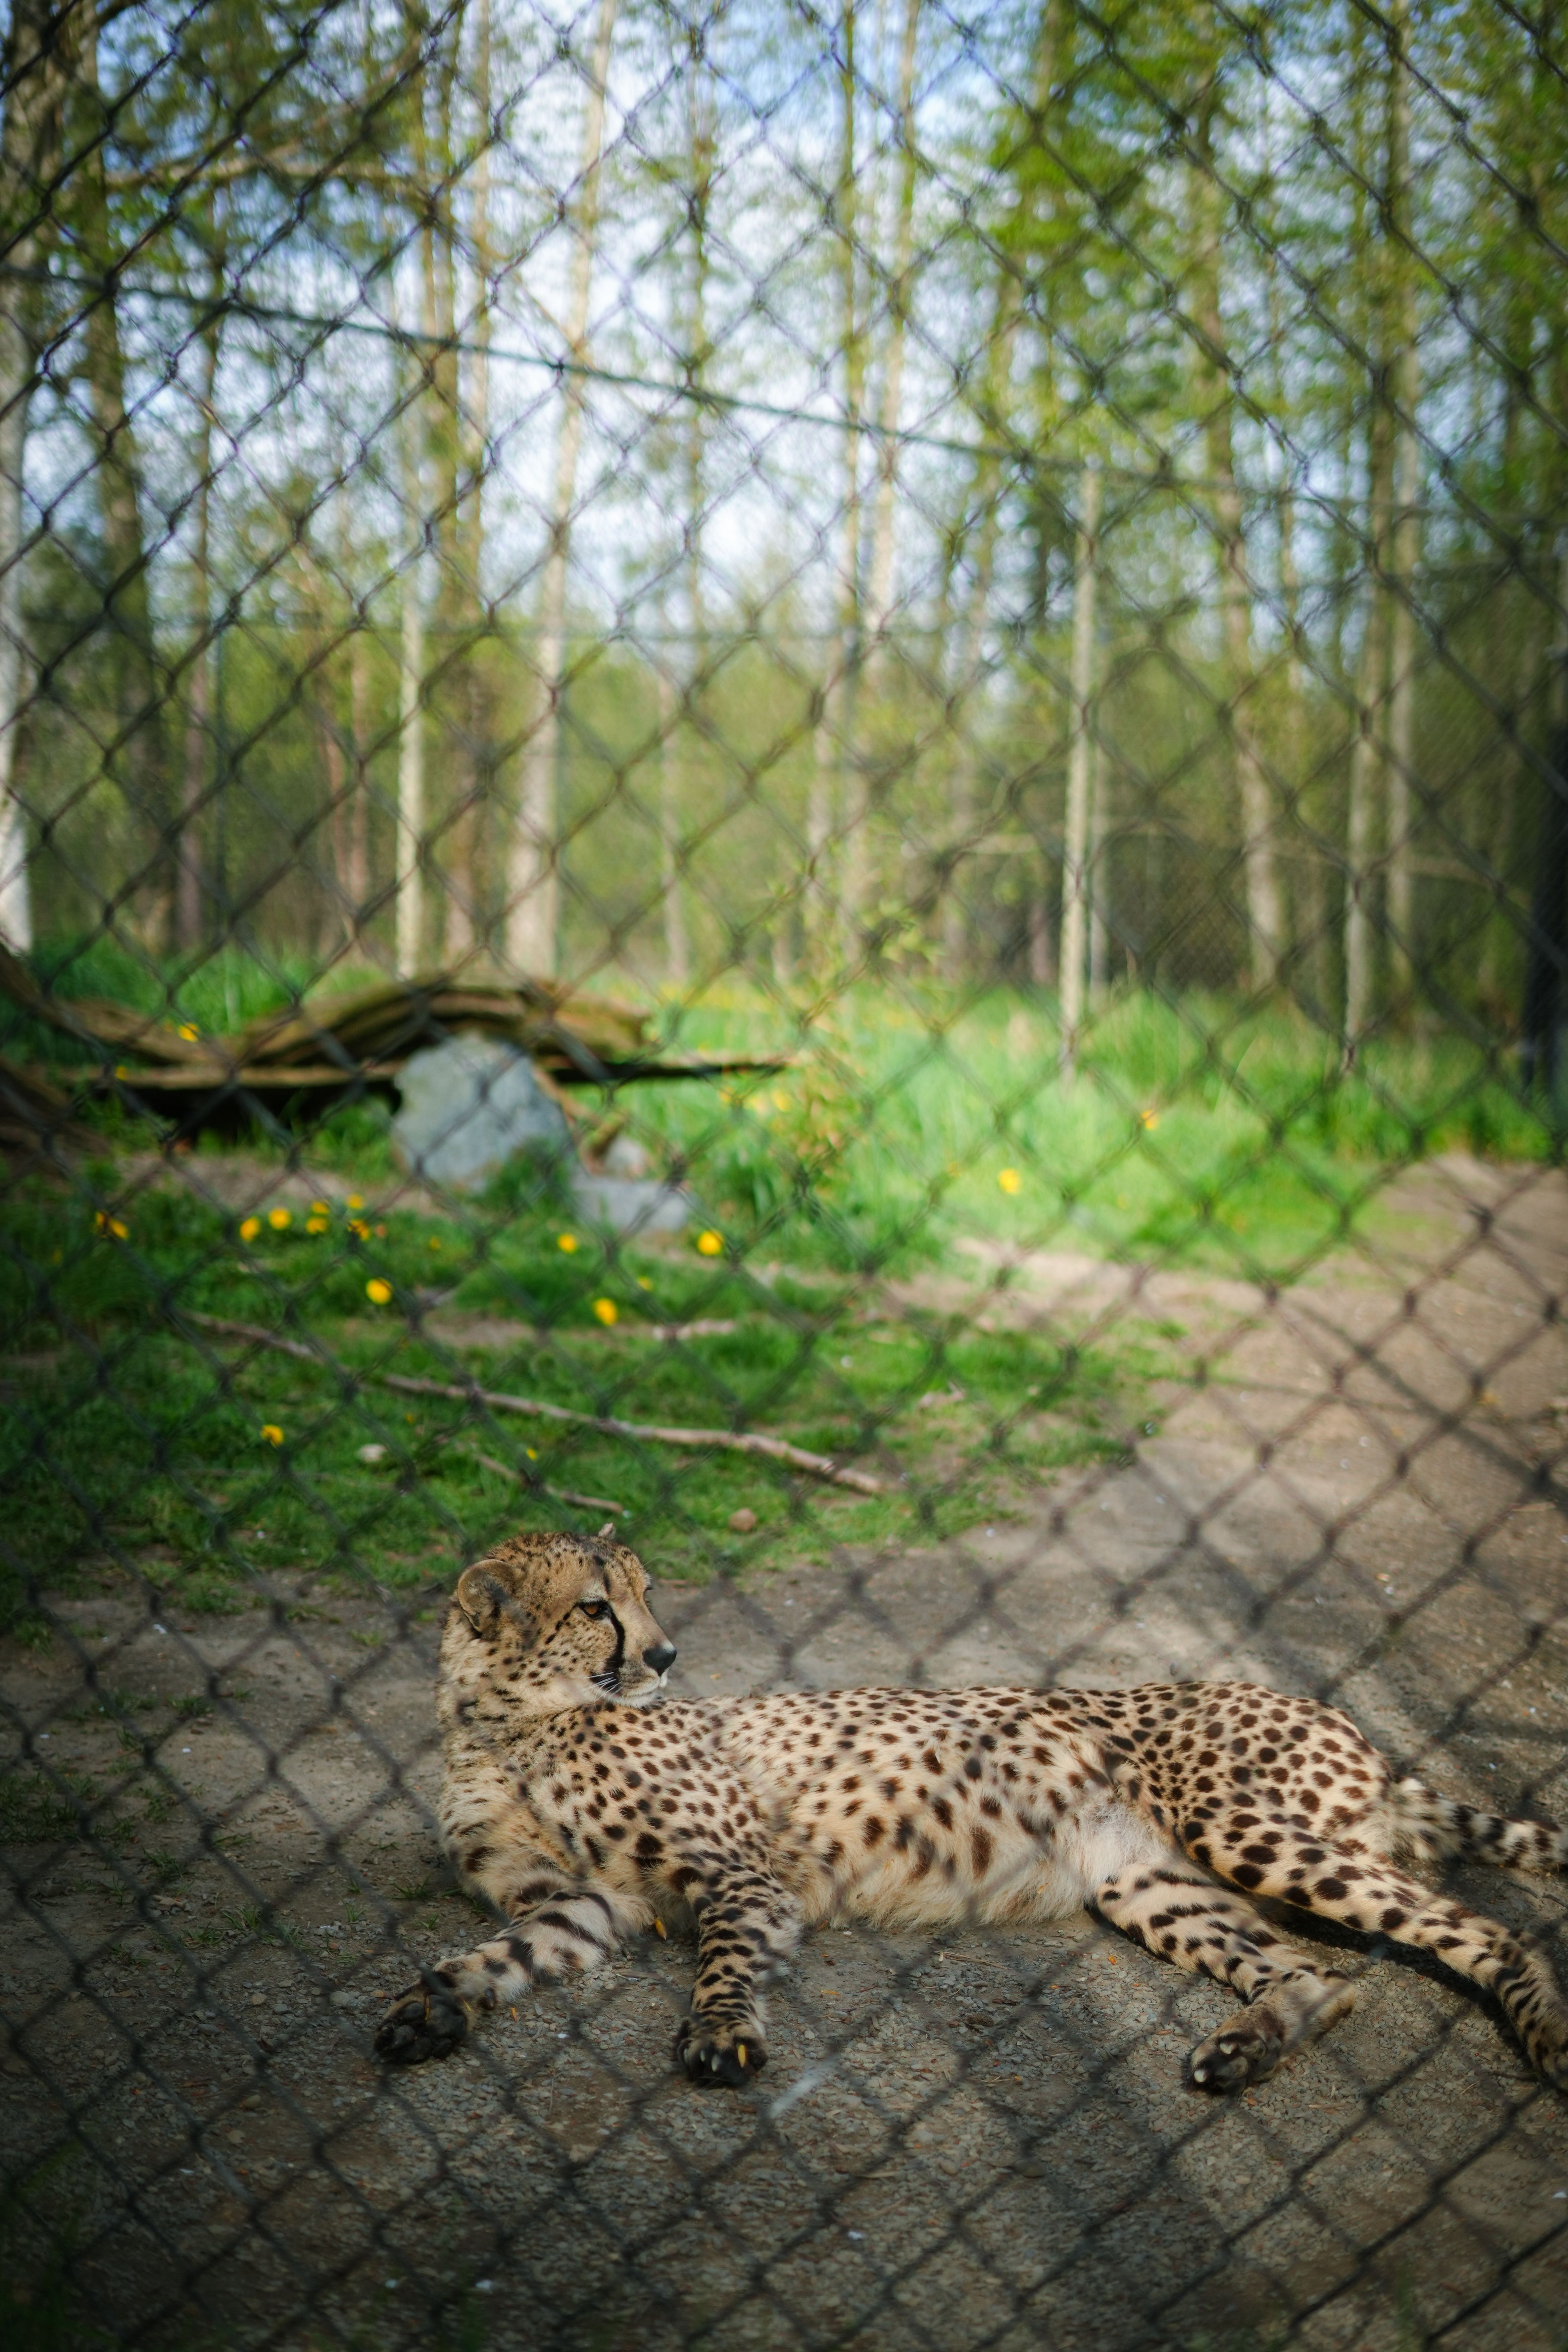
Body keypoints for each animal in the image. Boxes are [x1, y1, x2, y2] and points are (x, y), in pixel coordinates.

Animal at [374, 1528, 1568, 2093]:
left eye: (644, 1596)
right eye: (595, 1607)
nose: (665, 1656)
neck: (505, 1721)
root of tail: (1347, 1721)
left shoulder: (740, 1877)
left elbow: (723, 1960)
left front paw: (720, 2035)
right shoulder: (586, 1904)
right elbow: (500, 1952)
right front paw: (433, 2007)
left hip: (1245, 1829)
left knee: (1487, 1929)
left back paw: (1547, 2033)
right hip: (1147, 1882)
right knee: (1316, 1975)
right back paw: (1240, 2051)